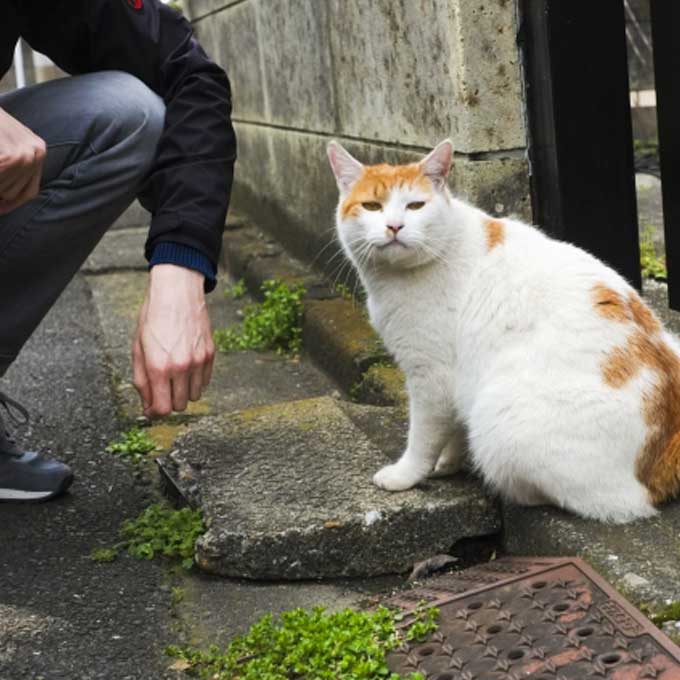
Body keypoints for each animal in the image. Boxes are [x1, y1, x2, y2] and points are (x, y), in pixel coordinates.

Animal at [326, 137, 676, 520]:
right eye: (372, 206)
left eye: (415, 205)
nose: (394, 226)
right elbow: (453, 427)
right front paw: (449, 461)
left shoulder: (431, 376)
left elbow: (423, 436)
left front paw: (407, 474)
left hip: (500, 419)